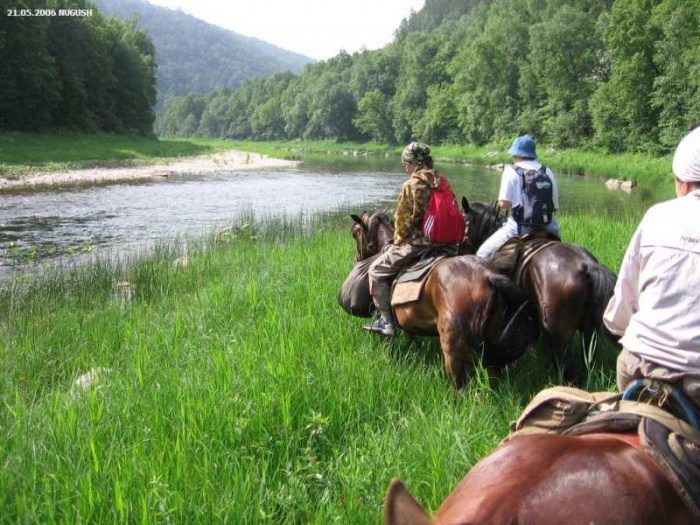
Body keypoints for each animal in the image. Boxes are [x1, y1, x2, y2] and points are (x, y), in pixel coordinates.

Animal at [344, 210, 536, 388]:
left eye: (355, 233)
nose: (356, 259)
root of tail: (489, 277)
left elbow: (388, 339)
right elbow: (410, 337)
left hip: (452, 348)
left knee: (458, 387)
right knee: (493, 377)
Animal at [462, 199, 620, 382]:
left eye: (464, 222)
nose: (459, 248)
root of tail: (587, 266)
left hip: (560, 335)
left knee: (567, 368)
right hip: (589, 331)